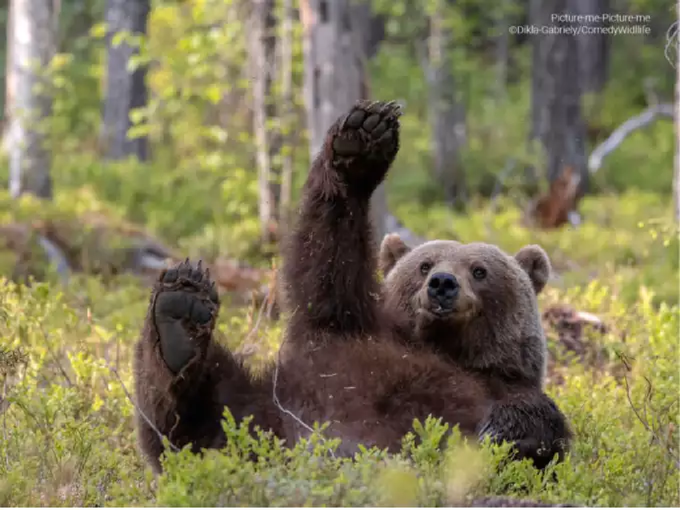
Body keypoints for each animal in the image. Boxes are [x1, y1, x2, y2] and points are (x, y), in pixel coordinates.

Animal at [131, 100, 568, 478]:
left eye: (480, 270)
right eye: (424, 264)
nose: (442, 284)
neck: (445, 348)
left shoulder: (503, 384)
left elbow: (539, 426)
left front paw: (501, 434)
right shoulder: (344, 332)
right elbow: (326, 259)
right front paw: (361, 141)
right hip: (262, 417)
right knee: (194, 416)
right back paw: (180, 316)